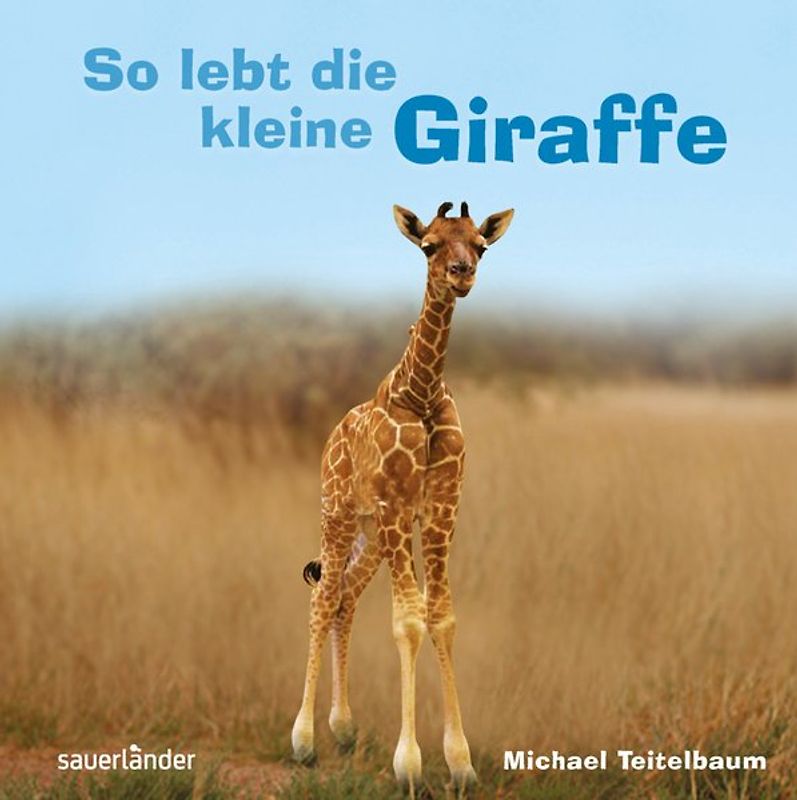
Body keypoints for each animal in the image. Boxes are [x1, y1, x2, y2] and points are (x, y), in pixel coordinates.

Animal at [291, 200, 514, 795]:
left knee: (344, 596)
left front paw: (461, 764)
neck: (423, 393)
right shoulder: (397, 506)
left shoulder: (439, 509)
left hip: (371, 535)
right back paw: (303, 741)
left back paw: (344, 729)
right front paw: (408, 764)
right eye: (428, 245)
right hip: (339, 512)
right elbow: (408, 621)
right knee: (323, 598)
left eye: (481, 246)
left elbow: (442, 617)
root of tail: (331, 436)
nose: (463, 274)